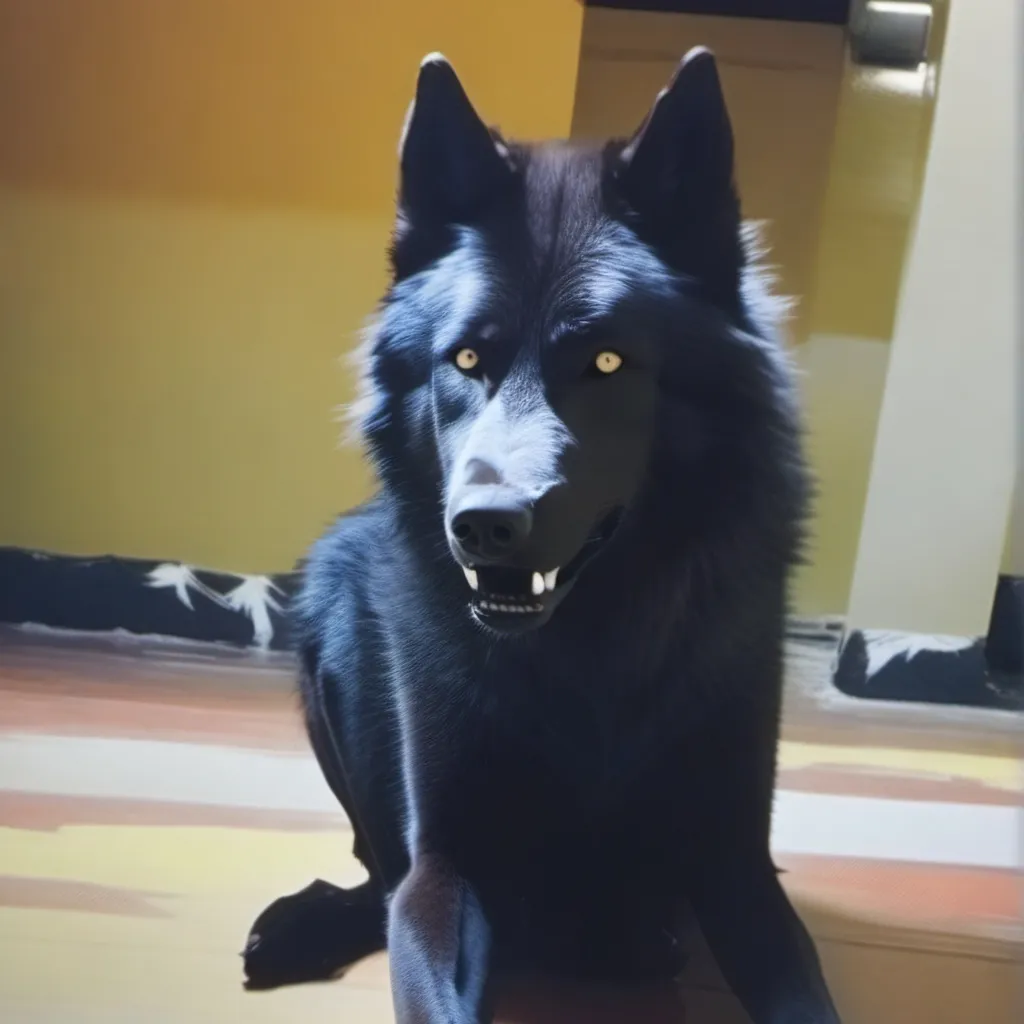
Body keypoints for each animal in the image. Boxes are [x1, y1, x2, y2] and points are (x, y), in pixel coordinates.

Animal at [242, 47, 842, 1024]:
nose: (484, 527)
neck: (586, 646)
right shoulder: (446, 866)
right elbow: (419, 927)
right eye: (466, 360)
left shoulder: (737, 864)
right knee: (376, 875)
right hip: (329, 606)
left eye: (606, 361)